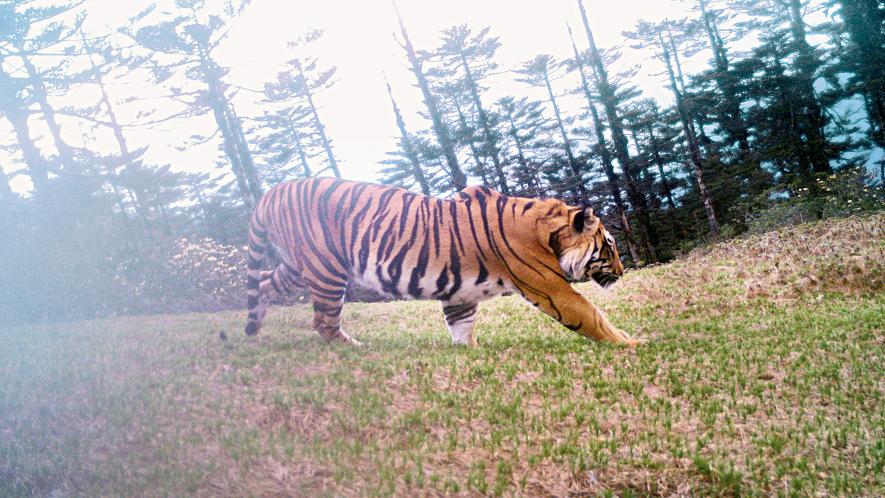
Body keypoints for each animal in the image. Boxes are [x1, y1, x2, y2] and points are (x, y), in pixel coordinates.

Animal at [244, 177, 638, 347]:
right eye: (609, 246)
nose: (623, 271)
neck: (547, 231)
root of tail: (269, 194)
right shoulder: (551, 289)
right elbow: (591, 316)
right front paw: (633, 343)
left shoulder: (458, 293)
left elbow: (461, 324)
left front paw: (470, 352)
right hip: (326, 270)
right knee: (323, 322)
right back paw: (356, 350)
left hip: (299, 267)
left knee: (263, 281)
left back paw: (254, 329)